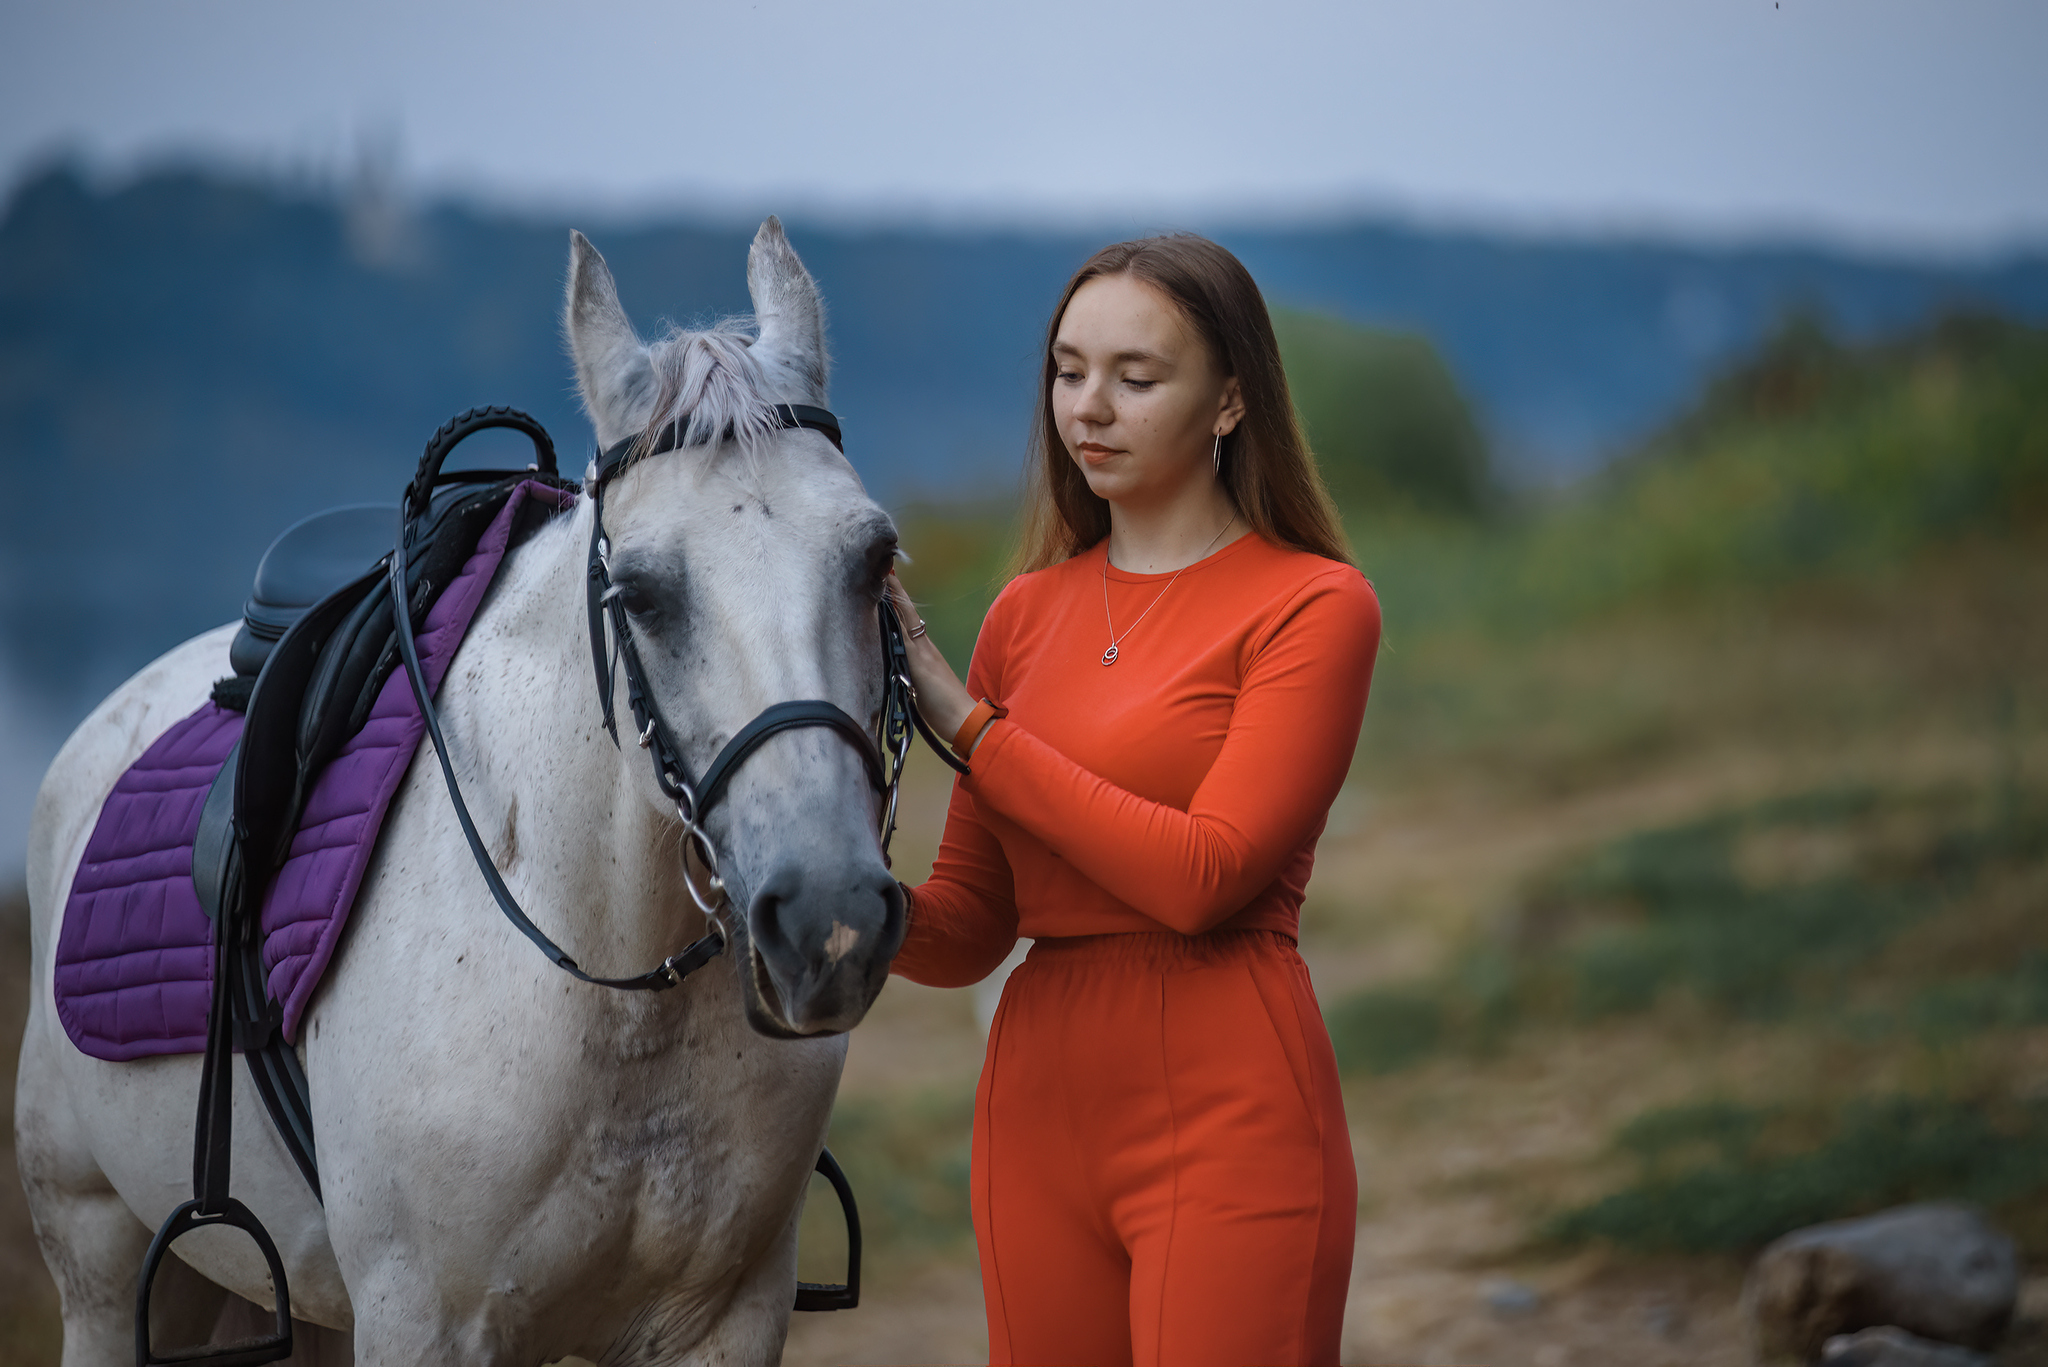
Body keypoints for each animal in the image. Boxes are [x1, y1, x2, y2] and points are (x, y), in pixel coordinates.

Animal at [9, 219, 905, 1360]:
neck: (615, 996)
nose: (830, 916)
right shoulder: (423, 1317)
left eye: (874, 557)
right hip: (105, 1265)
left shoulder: (724, 1320)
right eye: (639, 592)